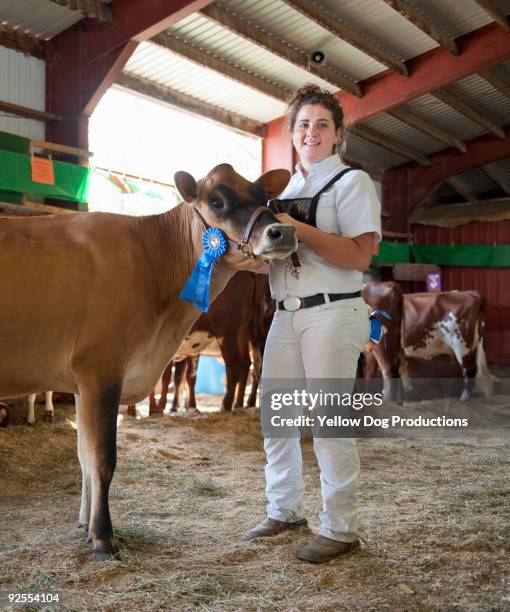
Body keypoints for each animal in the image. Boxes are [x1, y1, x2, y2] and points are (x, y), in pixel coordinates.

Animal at [0, 163, 294, 560]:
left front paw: (85, 526)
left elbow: (84, 457)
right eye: (216, 201)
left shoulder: (82, 382)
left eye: (265, 197)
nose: (283, 231)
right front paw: (102, 538)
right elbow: (102, 459)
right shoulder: (100, 371)